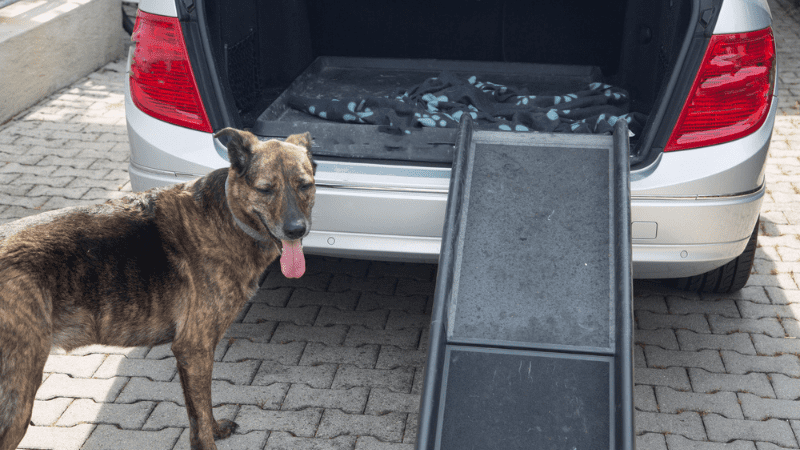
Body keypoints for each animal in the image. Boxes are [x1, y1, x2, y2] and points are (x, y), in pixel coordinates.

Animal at [0, 127, 318, 450]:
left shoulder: (195, 353)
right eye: (265, 189)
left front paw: (216, 428)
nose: (296, 230)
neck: (229, 215)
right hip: (17, 396)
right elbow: (200, 418)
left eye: (305, 186)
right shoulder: (194, 348)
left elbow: (202, 412)